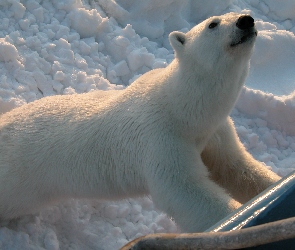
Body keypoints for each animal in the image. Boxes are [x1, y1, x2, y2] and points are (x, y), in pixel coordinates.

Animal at [0, 13, 282, 232]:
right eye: (213, 24)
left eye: (237, 11)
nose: (246, 20)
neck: (182, 110)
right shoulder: (161, 143)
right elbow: (188, 194)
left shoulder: (214, 132)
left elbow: (236, 168)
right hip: (19, 184)